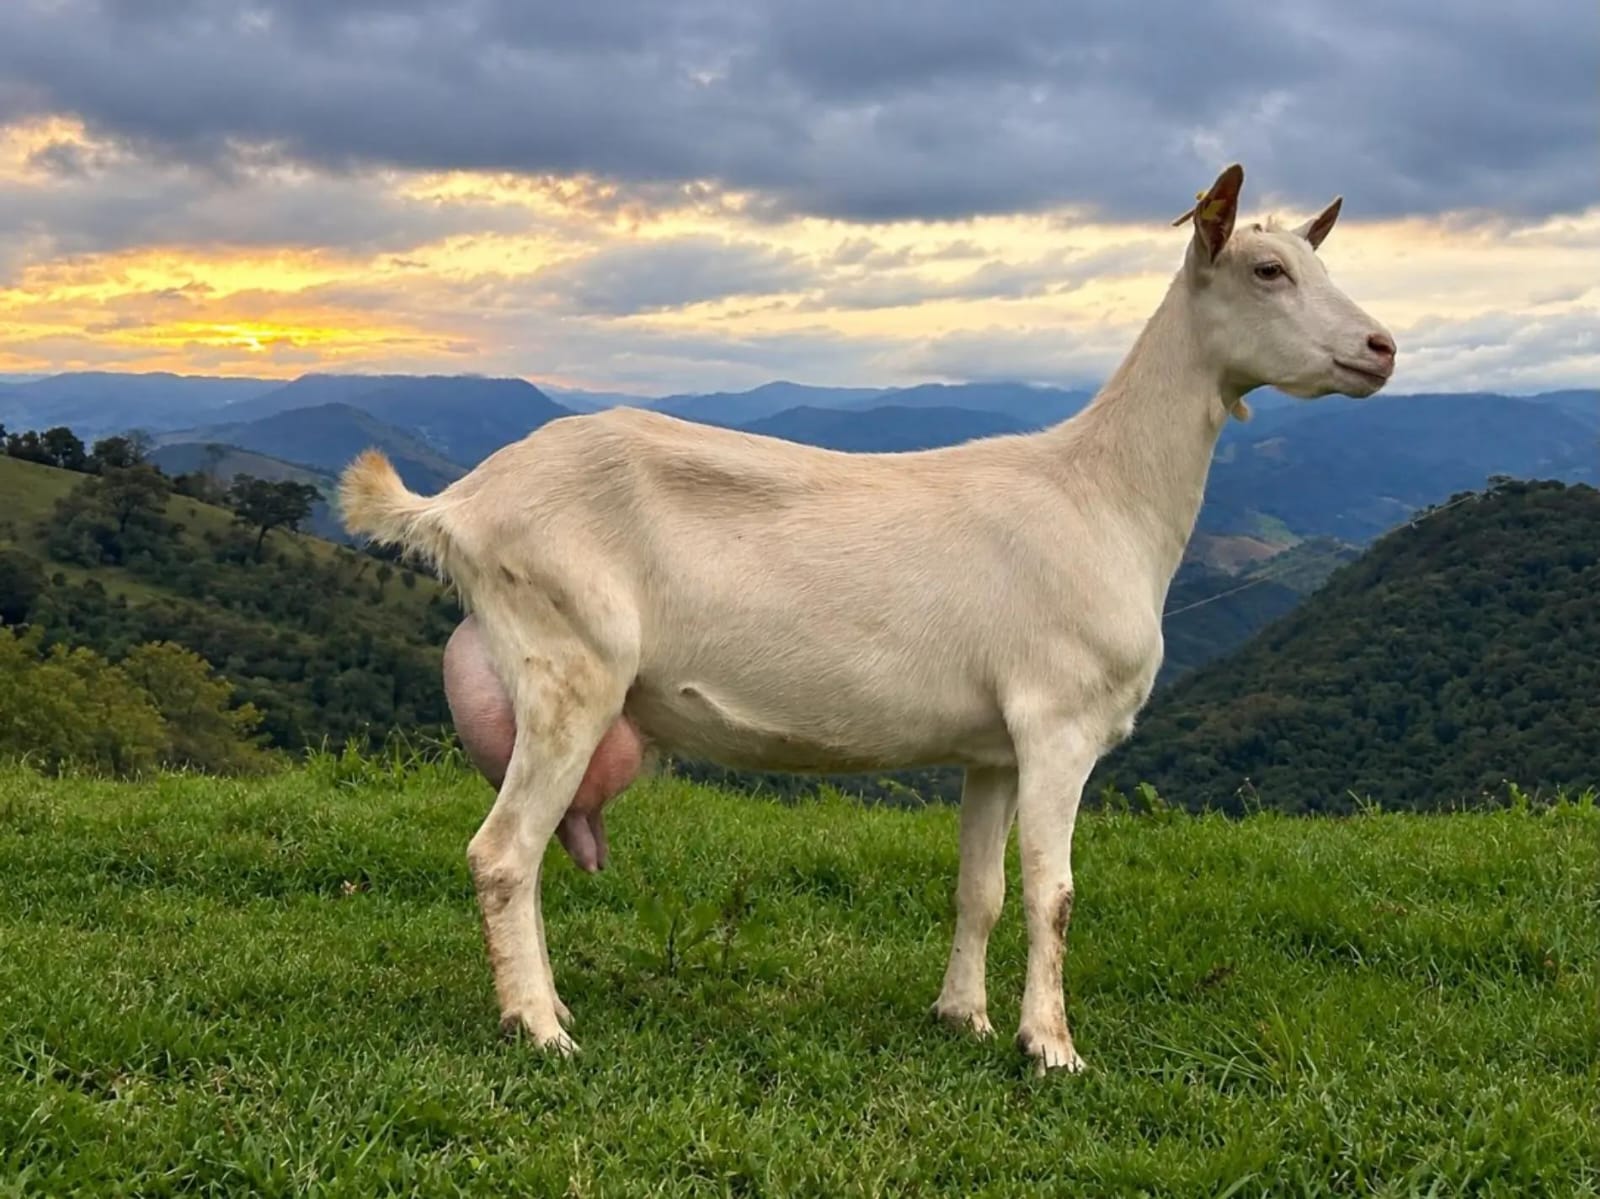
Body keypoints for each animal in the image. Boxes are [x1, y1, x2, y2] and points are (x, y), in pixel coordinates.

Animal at [339, 163, 1397, 1072]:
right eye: (1267, 270)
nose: (1383, 347)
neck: (1106, 496)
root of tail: (459, 504)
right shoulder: (1060, 721)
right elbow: (1053, 893)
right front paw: (1051, 1048)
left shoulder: (993, 747)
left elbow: (982, 888)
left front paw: (964, 1017)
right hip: (570, 665)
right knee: (502, 853)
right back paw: (539, 1030)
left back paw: (548, 1006)